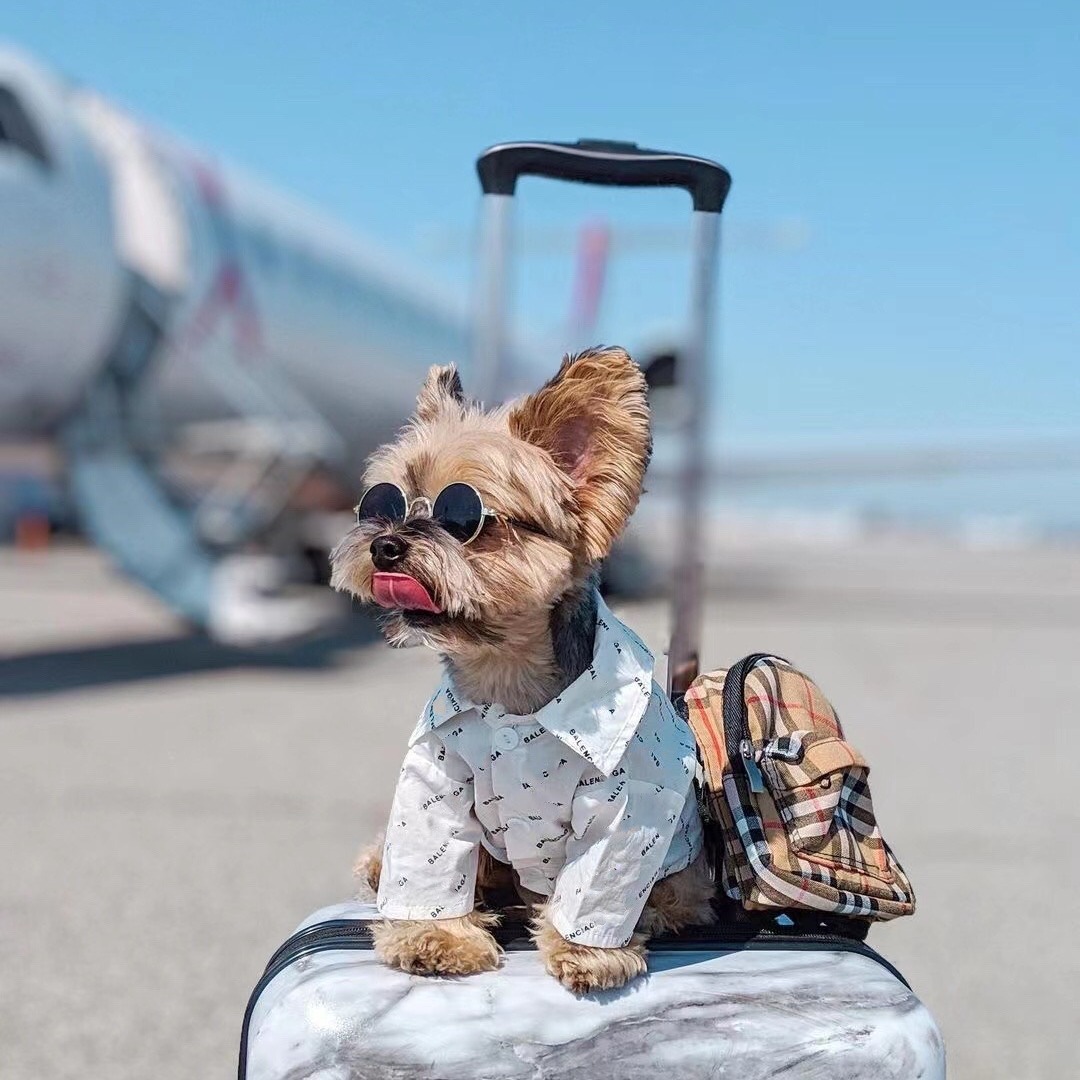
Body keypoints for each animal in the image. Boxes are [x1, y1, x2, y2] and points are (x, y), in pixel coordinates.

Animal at [328, 349, 717, 989]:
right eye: (381, 502)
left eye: (464, 516)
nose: (384, 544)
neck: (503, 673)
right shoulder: (435, 780)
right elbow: (432, 861)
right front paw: (434, 937)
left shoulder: (629, 803)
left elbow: (599, 879)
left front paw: (586, 953)